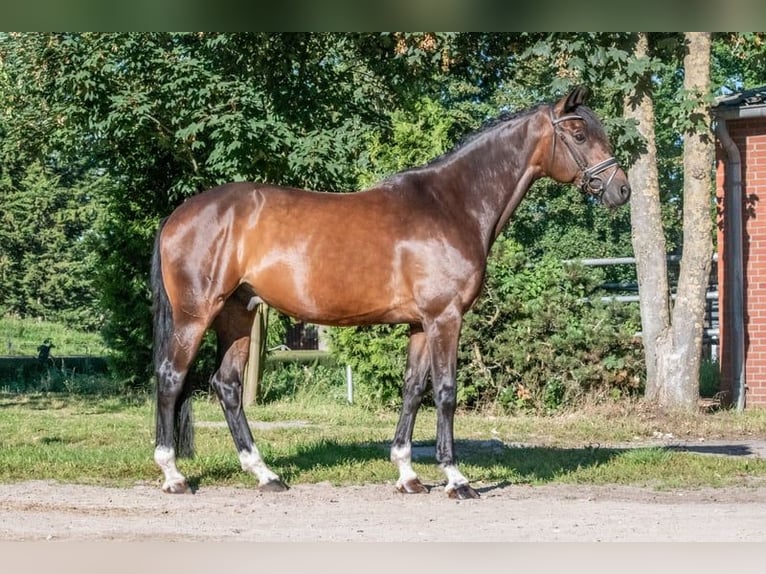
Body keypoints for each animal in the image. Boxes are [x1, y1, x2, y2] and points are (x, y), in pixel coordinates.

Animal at [150, 85, 632, 500]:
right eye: (579, 133)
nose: (621, 189)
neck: (451, 204)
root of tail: (178, 216)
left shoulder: (421, 323)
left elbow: (413, 389)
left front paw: (408, 475)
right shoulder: (445, 318)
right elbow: (446, 392)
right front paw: (456, 479)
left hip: (239, 313)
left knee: (227, 385)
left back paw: (265, 474)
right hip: (197, 314)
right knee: (171, 378)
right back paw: (174, 475)